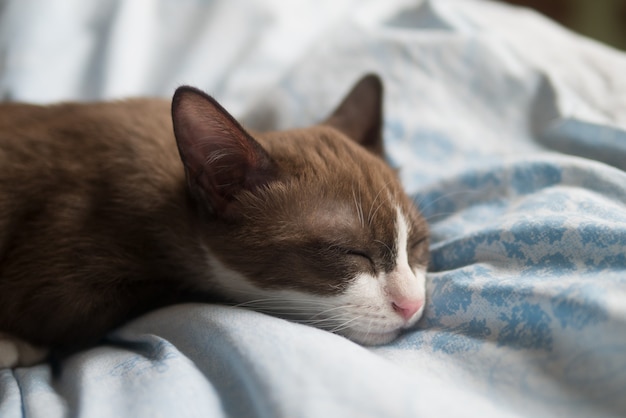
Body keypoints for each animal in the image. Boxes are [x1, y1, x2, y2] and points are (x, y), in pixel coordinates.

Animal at [0, 74, 426, 366]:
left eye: (418, 245)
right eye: (349, 251)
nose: (412, 304)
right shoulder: (61, 276)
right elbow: (68, 322)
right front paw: (15, 345)